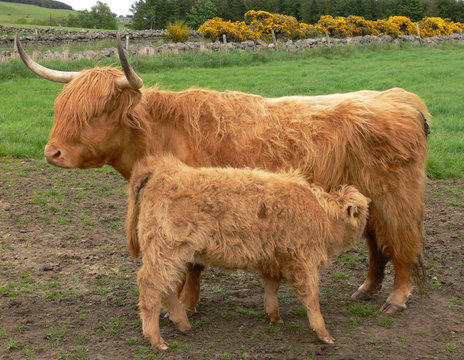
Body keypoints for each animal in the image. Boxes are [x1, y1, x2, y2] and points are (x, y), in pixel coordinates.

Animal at [126, 156, 370, 350]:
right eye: (363, 214)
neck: (322, 216)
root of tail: (163, 169)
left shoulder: (273, 259)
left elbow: (271, 287)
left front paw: (274, 316)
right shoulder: (304, 262)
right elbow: (312, 298)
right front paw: (323, 334)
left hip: (174, 254)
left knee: (164, 287)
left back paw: (182, 323)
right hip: (166, 250)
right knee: (150, 285)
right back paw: (156, 340)